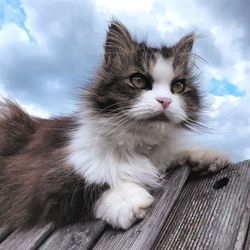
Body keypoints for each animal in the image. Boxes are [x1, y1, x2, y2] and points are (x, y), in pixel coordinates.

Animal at [0, 20, 230, 229]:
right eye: (138, 80)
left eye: (178, 86)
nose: (165, 101)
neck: (139, 144)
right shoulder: (38, 180)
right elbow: (95, 187)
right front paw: (130, 202)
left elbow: (178, 150)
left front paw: (208, 156)